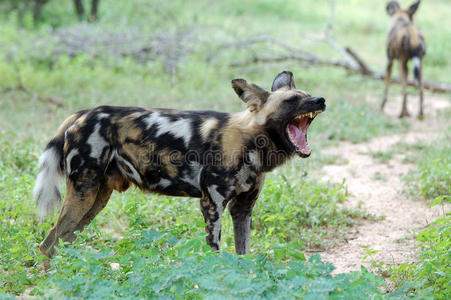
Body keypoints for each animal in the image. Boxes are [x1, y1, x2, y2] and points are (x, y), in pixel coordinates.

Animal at [35, 71, 324, 260]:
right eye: (291, 101)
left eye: (308, 95)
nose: (321, 100)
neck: (251, 142)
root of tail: (82, 113)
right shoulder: (212, 204)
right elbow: (216, 252)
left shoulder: (242, 210)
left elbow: (242, 255)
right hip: (83, 195)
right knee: (48, 244)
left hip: (95, 201)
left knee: (59, 242)